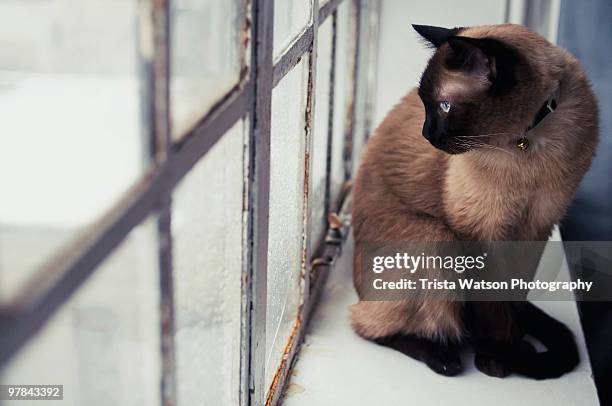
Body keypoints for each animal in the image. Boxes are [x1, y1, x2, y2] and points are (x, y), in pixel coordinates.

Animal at [352, 23, 596, 380]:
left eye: (444, 107)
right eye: (427, 105)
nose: (426, 134)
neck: (527, 142)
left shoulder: (536, 226)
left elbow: (513, 296)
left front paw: (509, 347)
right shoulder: (481, 231)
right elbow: (491, 304)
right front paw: (497, 357)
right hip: (436, 241)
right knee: (366, 325)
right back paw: (445, 357)